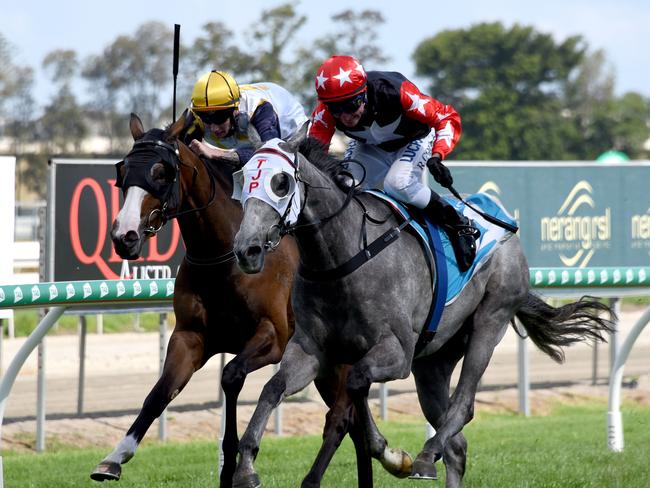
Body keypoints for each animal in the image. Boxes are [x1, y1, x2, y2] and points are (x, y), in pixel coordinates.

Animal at [90, 112, 374, 486]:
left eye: (161, 172)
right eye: (121, 171)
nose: (125, 236)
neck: (221, 253)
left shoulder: (274, 337)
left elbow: (231, 375)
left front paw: (241, 466)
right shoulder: (190, 337)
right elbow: (159, 393)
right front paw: (114, 457)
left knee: (343, 419)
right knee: (355, 425)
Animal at [229, 124, 612, 486]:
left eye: (280, 182)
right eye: (244, 178)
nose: (247, 249)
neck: (342, 258)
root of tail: (507, 229)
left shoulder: (397, 353)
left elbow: (356, 382)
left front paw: (390, 454)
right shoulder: (311, 350)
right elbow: (273, 389)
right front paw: (246, 465)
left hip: (491, 320)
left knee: (463, 407)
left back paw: (427, 456)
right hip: (432, 362)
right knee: (457, 446)